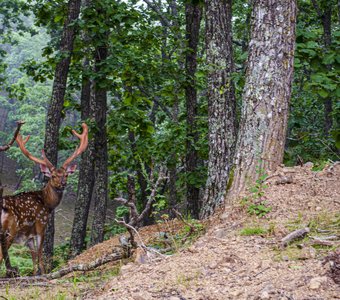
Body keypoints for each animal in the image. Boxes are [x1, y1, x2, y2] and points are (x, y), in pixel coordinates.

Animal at [0, 122, 89, 274]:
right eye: (53, 176)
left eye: (66, 175)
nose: (63, 184)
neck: (47, 203)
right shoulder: (41, 225)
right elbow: (41, 256)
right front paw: (45, 273)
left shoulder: (28, 237)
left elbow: (34, 261)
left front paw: (34, 274)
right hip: (10, 230)